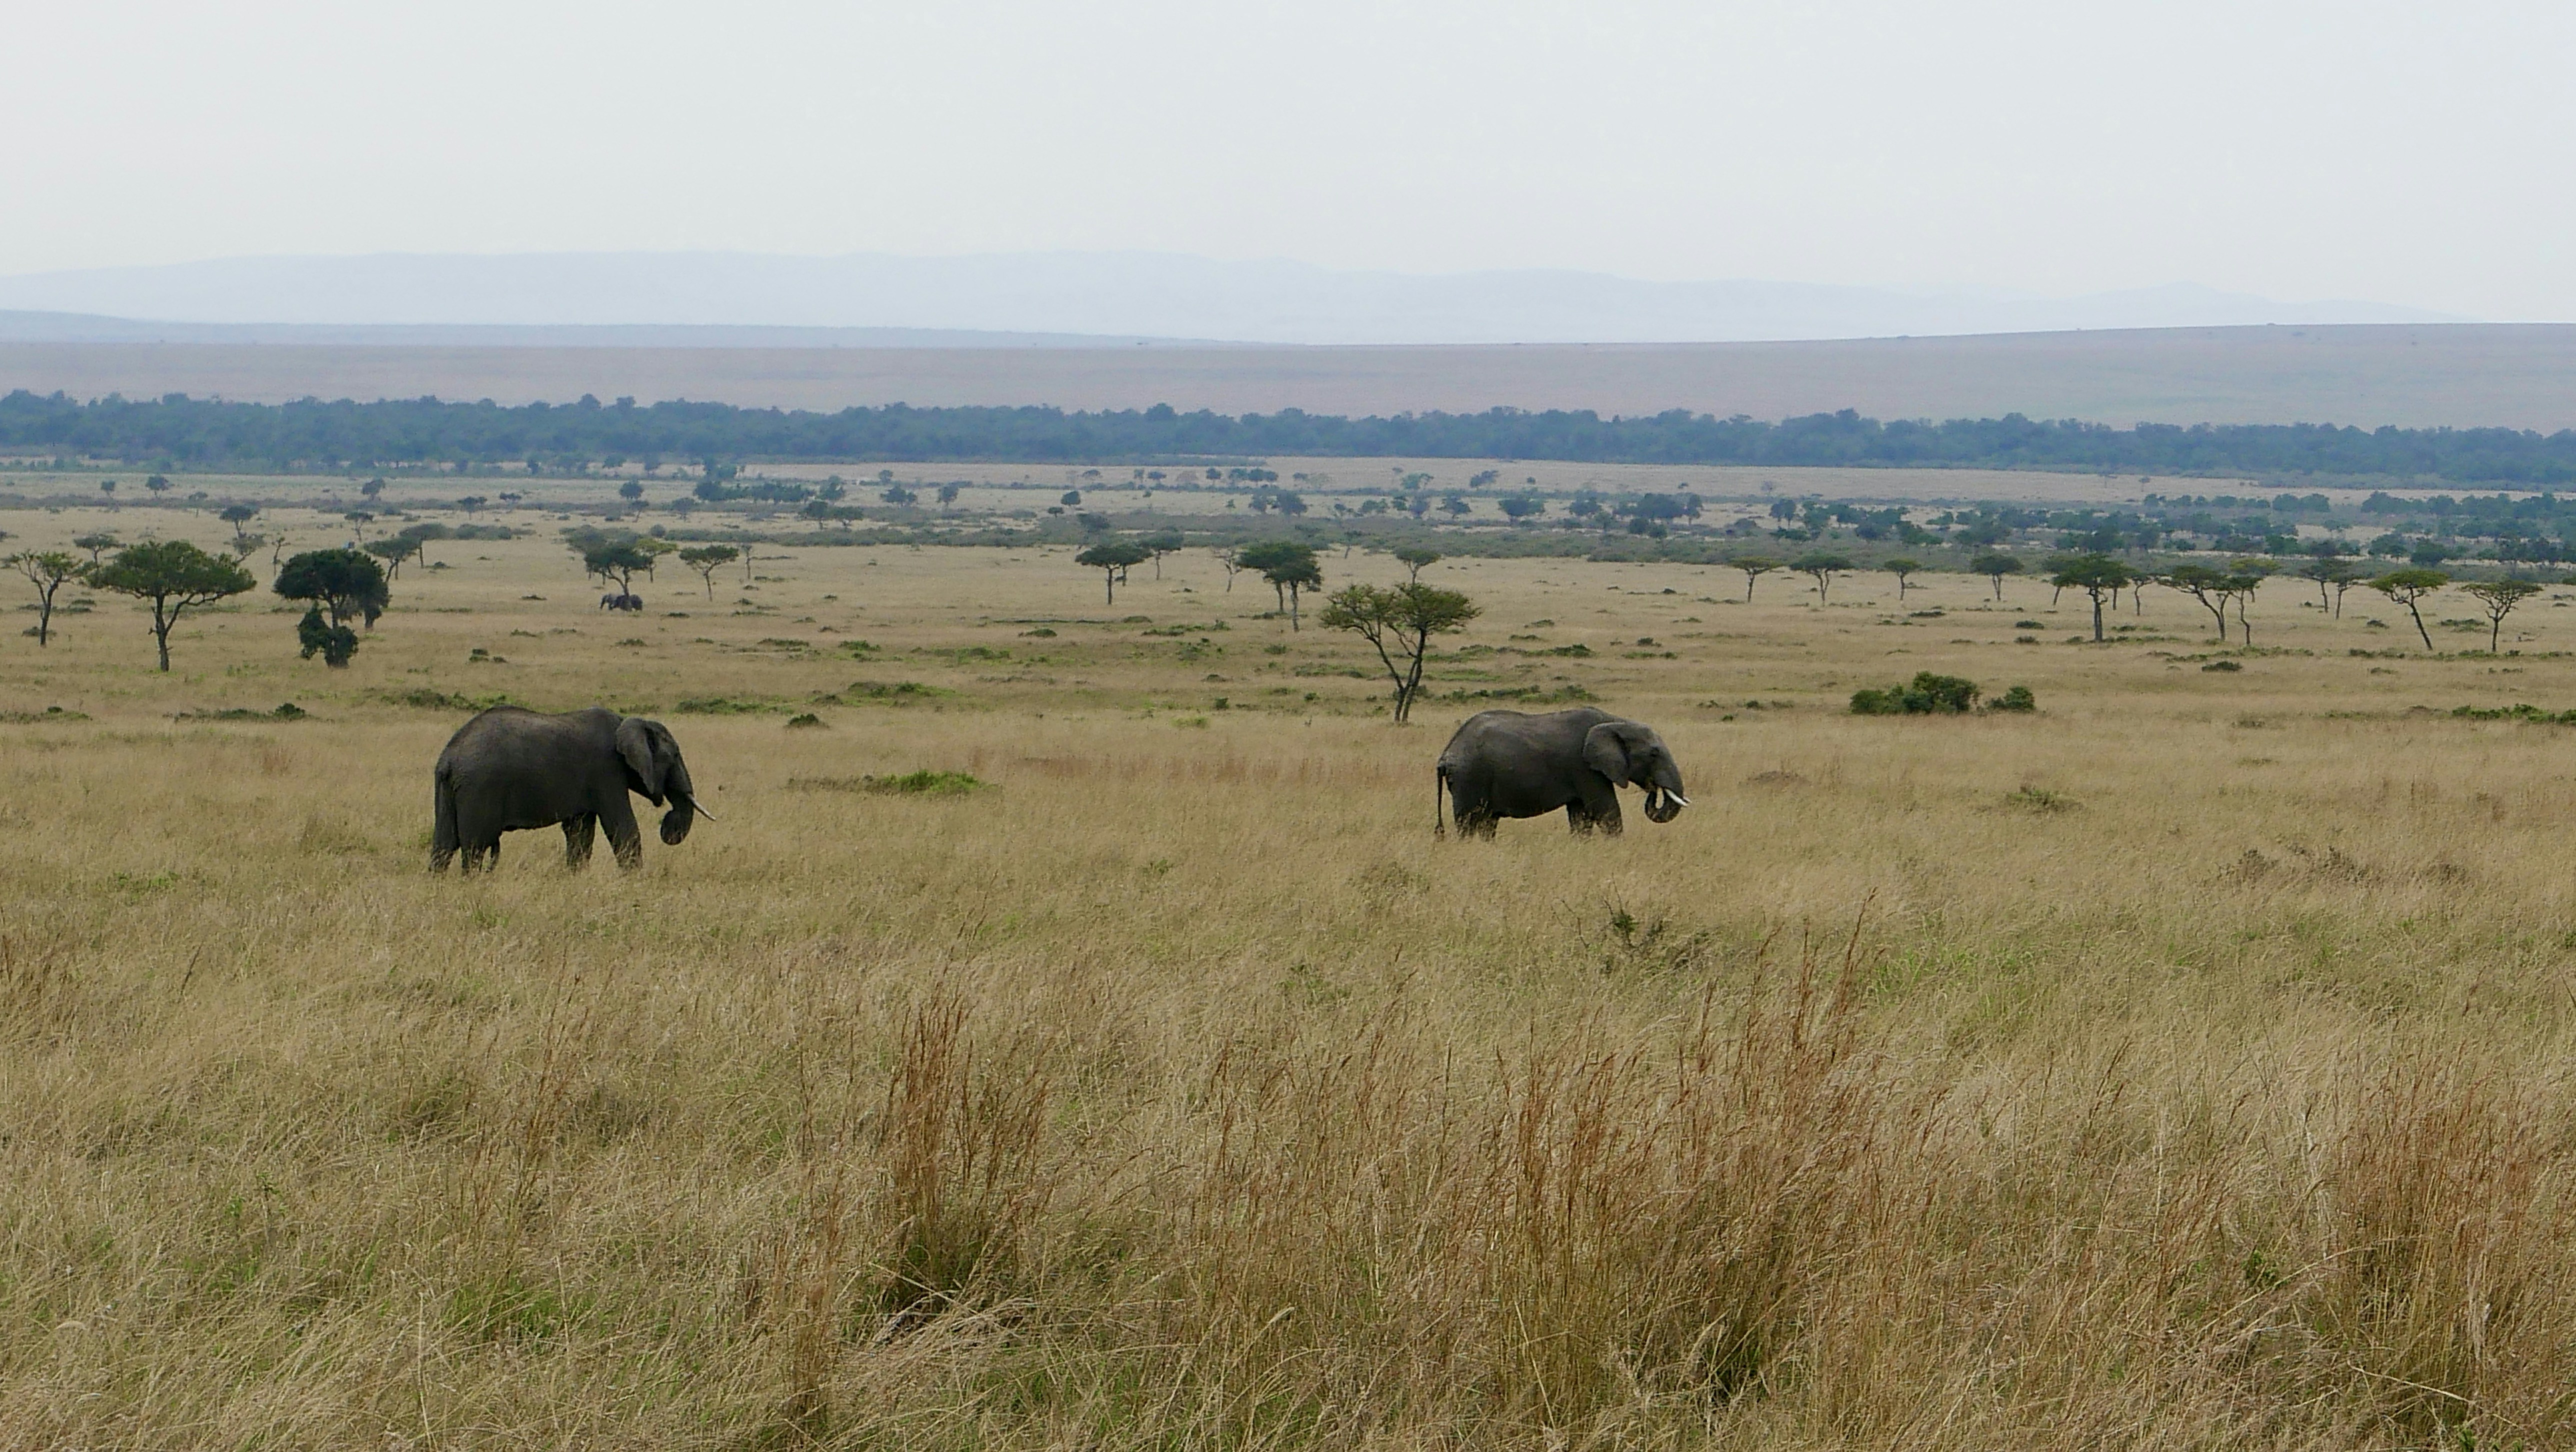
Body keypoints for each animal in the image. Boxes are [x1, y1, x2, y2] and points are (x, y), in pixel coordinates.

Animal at [431, 706, 708, 872]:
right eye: (673, 756)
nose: (668, 826)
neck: (627, 723)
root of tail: (449, 758)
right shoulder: (607, 771)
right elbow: (622, 828)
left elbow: (580, 833)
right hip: (479, 788)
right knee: (475, 847)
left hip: (449, 788)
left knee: (444, 845)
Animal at [1435, 708, 1688, 838]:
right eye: (1654, 754)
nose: (1653, 789)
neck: (1615, 722)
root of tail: (1447, 753)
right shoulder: (1585, 767)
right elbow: (1606, 810)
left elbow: (1580, 817)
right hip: (1469, 777)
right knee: (1468, 822)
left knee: (1487, 823)